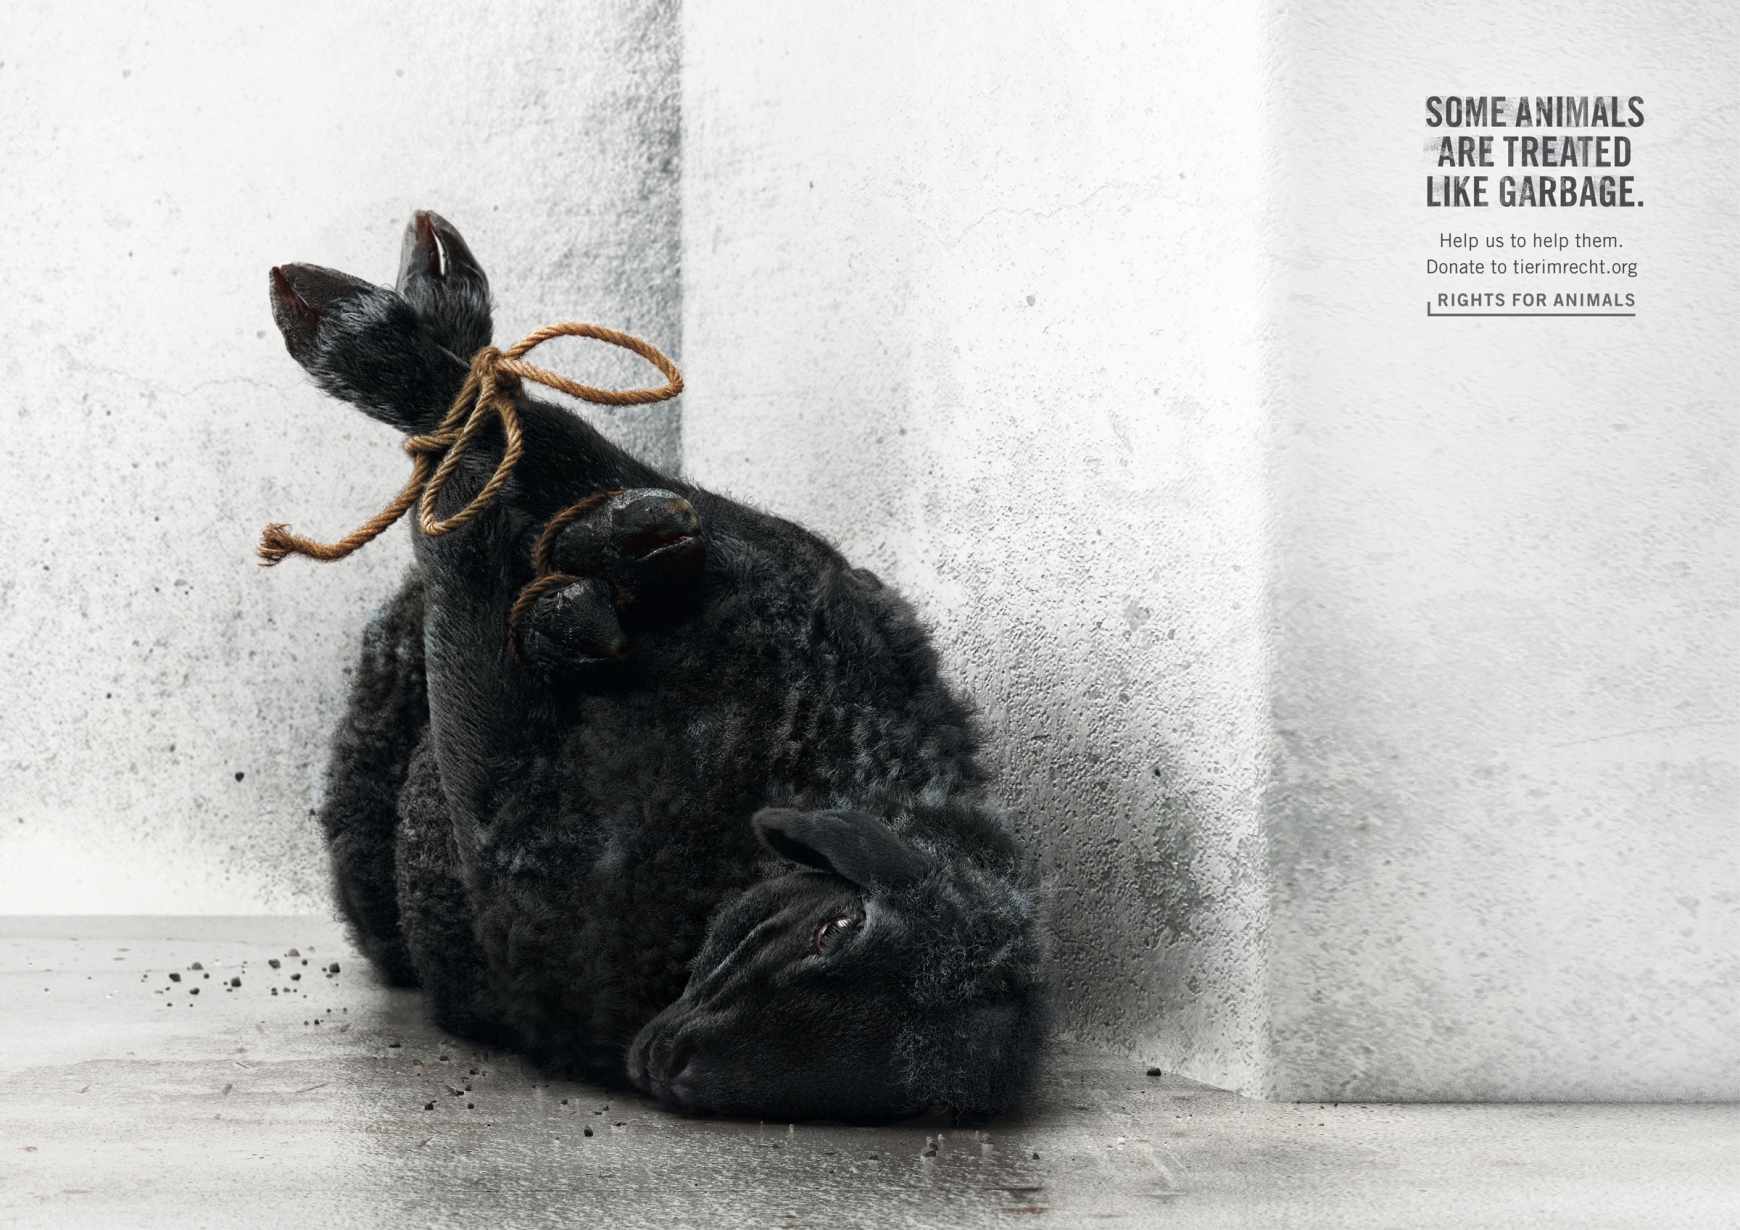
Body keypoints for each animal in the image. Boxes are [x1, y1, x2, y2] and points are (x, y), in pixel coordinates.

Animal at [267, 211, 1048, 1120]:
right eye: (835, 927)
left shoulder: (518, 844)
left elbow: (468, 502)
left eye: (871, 1098)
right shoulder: (796, 584)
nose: (669, 1061)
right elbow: (529, 443)